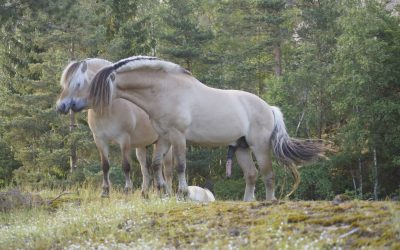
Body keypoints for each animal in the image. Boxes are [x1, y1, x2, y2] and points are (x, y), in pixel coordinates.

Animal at [55, 57, 173, 196]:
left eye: (77, 84)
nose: (60, 106)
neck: (109, 109)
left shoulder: (124, 140)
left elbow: (126, 166)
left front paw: (127, 189)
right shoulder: (100, 140)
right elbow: (105, 166)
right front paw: (105, 191)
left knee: (166, 169)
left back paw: (167, 192)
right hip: (143, 146)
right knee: (146, 168)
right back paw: (145, 193)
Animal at [86, 56, 324, 201]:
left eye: (96, 87)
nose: (85, 106)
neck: (166, 90)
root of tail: (269, 108)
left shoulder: (178, 137)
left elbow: (180, 165)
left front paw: (182, 193)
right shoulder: (165, 137)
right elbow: (158, 165)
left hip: (260, 147)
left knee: (268, 175)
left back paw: (270, 201)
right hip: (241, 148)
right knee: (251, 175)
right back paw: (248, 201)